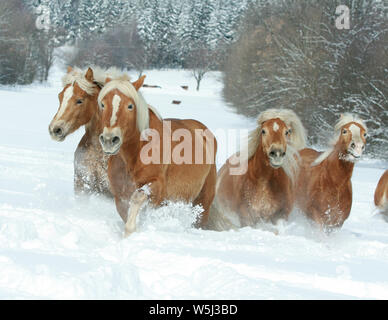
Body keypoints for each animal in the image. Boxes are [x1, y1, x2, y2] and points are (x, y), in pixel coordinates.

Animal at [98, 74, 218, 235]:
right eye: (103, 104)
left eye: (130, 106)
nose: (109, 140)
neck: (135, 154)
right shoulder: (120, 195)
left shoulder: (156, 187)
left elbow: (137, 198)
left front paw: (130, 231)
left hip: (203, 201)